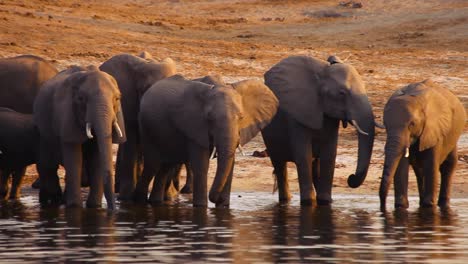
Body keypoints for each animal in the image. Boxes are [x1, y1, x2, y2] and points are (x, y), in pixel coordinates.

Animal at [33, 66, 126, 210]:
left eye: (117, 98)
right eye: (81, 99)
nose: (113, 210)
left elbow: (97, 159)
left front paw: (95, 207)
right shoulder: (67, 117)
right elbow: (74, 159)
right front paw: (74, 207)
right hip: (42, 130)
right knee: (47, 165)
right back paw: (54, 201)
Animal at [136, 73, 278, 206]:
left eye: (241, 117)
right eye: (209, 118)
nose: (218, 199)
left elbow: (230, 164)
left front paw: (223, 206)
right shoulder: (194, 125)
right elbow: (201, 165)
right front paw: (201, 206)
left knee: (166, 166)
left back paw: (155, 201)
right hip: (146, 128)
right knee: (153, 165)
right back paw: (140, 200)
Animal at [264, 54, 376, 205]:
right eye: (342, 93)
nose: (351, 177)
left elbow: (329, 154)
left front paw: (326, 202)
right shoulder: (298, 114)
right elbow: (304, 155)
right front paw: (308, 203)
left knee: (314, 165)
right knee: (280, 165)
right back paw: (285, 200)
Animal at [378, 79, 466, 211]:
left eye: (412, 124)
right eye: (385, 124)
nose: (383, 209)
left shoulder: (434, 128)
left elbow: (431, 163)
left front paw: (429, 206)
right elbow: (402, 164)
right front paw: (401, 207)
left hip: (453, 135)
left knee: (448, 165)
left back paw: (442, 204)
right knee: (419, 169)